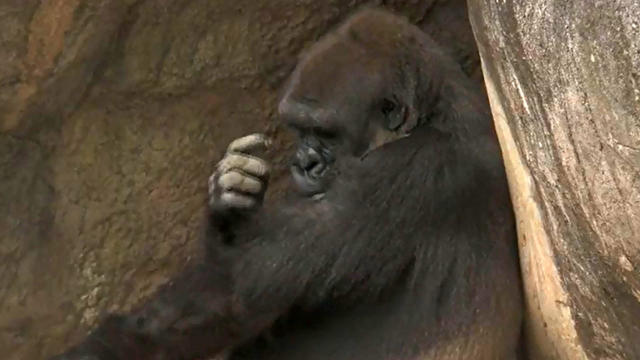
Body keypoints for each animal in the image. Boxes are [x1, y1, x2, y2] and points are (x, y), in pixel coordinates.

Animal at [52, 7, 524, 360]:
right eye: (298, 129)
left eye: (326, 133)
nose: (304, 163)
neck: (436, 113)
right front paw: (227, 199)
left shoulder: (410, 173)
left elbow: (234, 290)